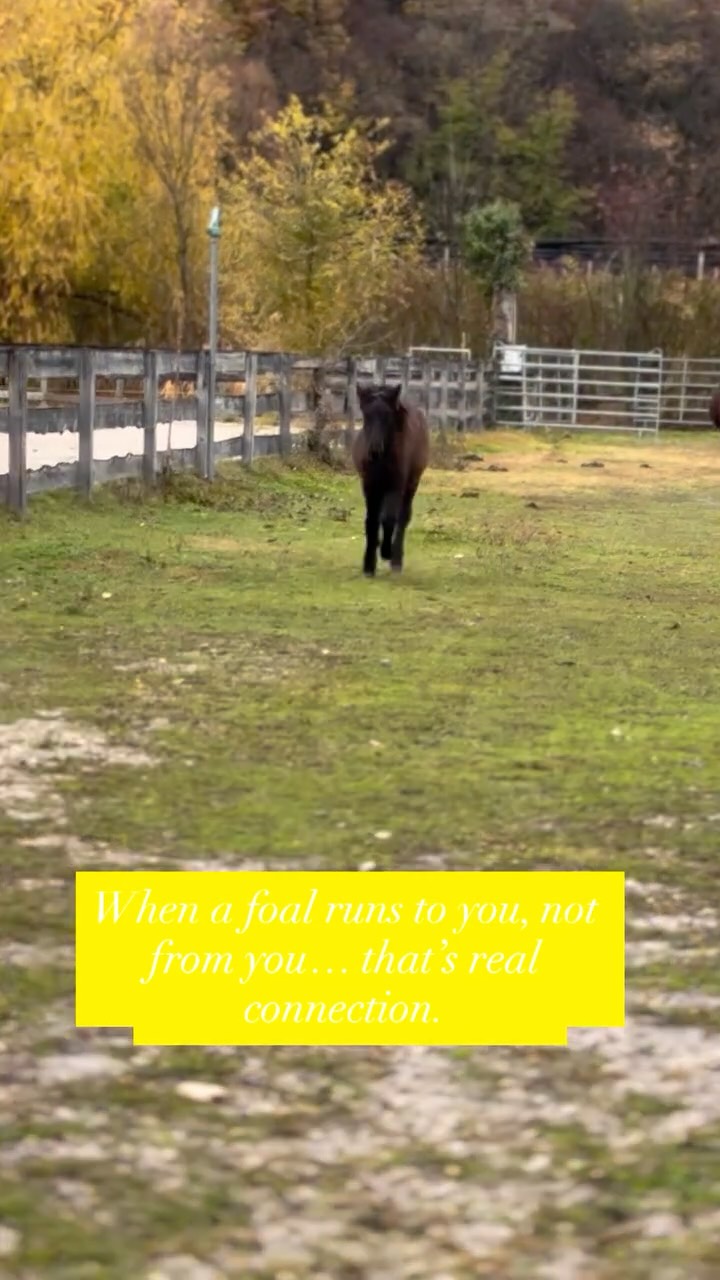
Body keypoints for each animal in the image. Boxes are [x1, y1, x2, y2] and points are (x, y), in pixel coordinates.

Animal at [352, 382, 429, 577]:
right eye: (366, 415)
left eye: (387, 416)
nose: (374, 449)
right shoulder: (369, 486)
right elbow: (371, 521)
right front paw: (368, 566)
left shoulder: (396, 486)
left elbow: (389, 519)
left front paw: (385, 552)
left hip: (411, 484)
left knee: (403, 517)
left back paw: (396, 560)